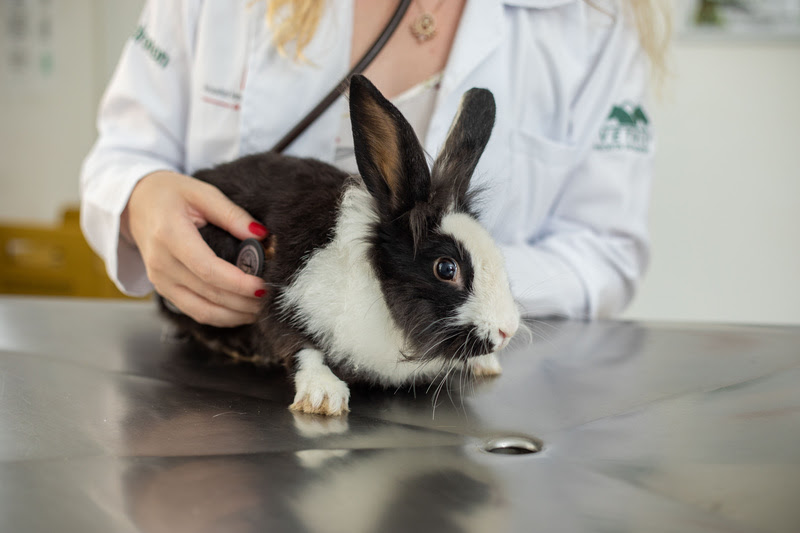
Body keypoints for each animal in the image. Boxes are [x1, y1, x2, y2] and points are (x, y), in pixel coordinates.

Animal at [163, 75, 524, 416]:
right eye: (446, 269)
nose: (507, 330)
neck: (376, 288)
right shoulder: (284, 295)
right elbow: (299, 347)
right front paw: (323, 396)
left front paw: (484, 365)